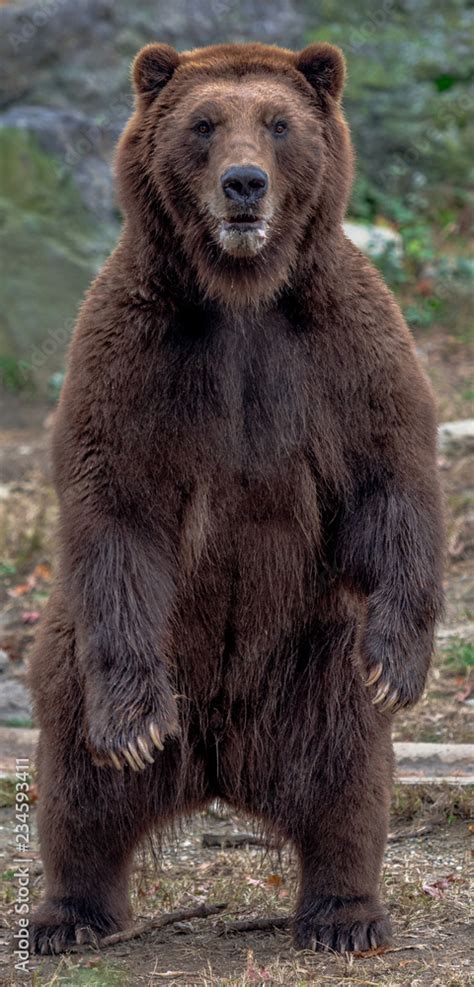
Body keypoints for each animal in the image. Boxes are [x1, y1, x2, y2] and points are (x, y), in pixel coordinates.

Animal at [29, 41, 444, 955]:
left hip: (314, 658)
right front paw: (133, 729)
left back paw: (345, 914)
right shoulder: (138, 352)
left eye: (279, 123)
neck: (242, 294)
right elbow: (115, 500)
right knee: (78, 780)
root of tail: (219, 766)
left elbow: (390, 472)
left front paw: (399, 665)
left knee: (347, 776)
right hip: (103, 649)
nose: (244, 183)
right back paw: (68, 913)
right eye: (205, 122)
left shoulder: (338, 344)